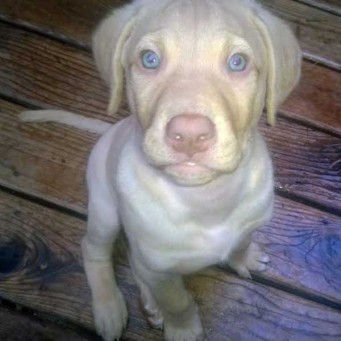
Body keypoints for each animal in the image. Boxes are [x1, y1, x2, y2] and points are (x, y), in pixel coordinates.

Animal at [20, 0, 300, 340]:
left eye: (238, 62)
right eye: (149, 59)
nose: (189, 134)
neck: (205, 200)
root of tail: (111, 131)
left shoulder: (246, 223)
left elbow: (242, 240)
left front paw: (243, 256)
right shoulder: (159, 268)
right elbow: (177, 300)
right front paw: (184, 329)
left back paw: (149, 304)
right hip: (105, 211)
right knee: (93, 249)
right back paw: (110, 307)